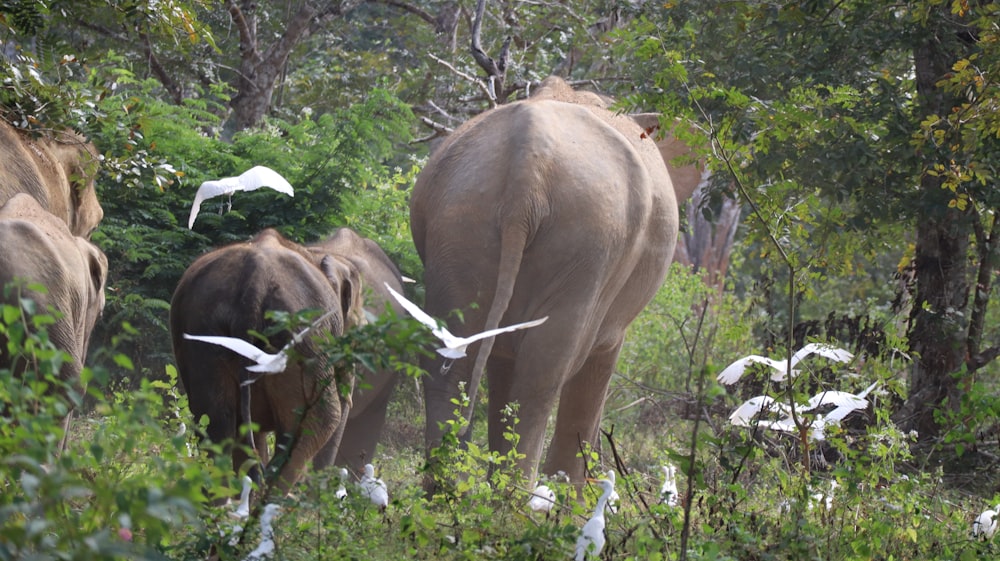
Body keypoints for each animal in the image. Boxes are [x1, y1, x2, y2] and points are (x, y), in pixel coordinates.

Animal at [172, 228, 368, 494]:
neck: (315, 252)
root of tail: (253, 288)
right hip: (301, 340)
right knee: (320, 420)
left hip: (204, 336)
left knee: (216, 425)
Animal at [408, 74, 704, 486]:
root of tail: (526, 170)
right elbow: (598, 362)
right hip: (589, 240)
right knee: (545, 372)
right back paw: (516, 497)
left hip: (459, 220)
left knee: (453, 356)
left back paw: (449, 492)